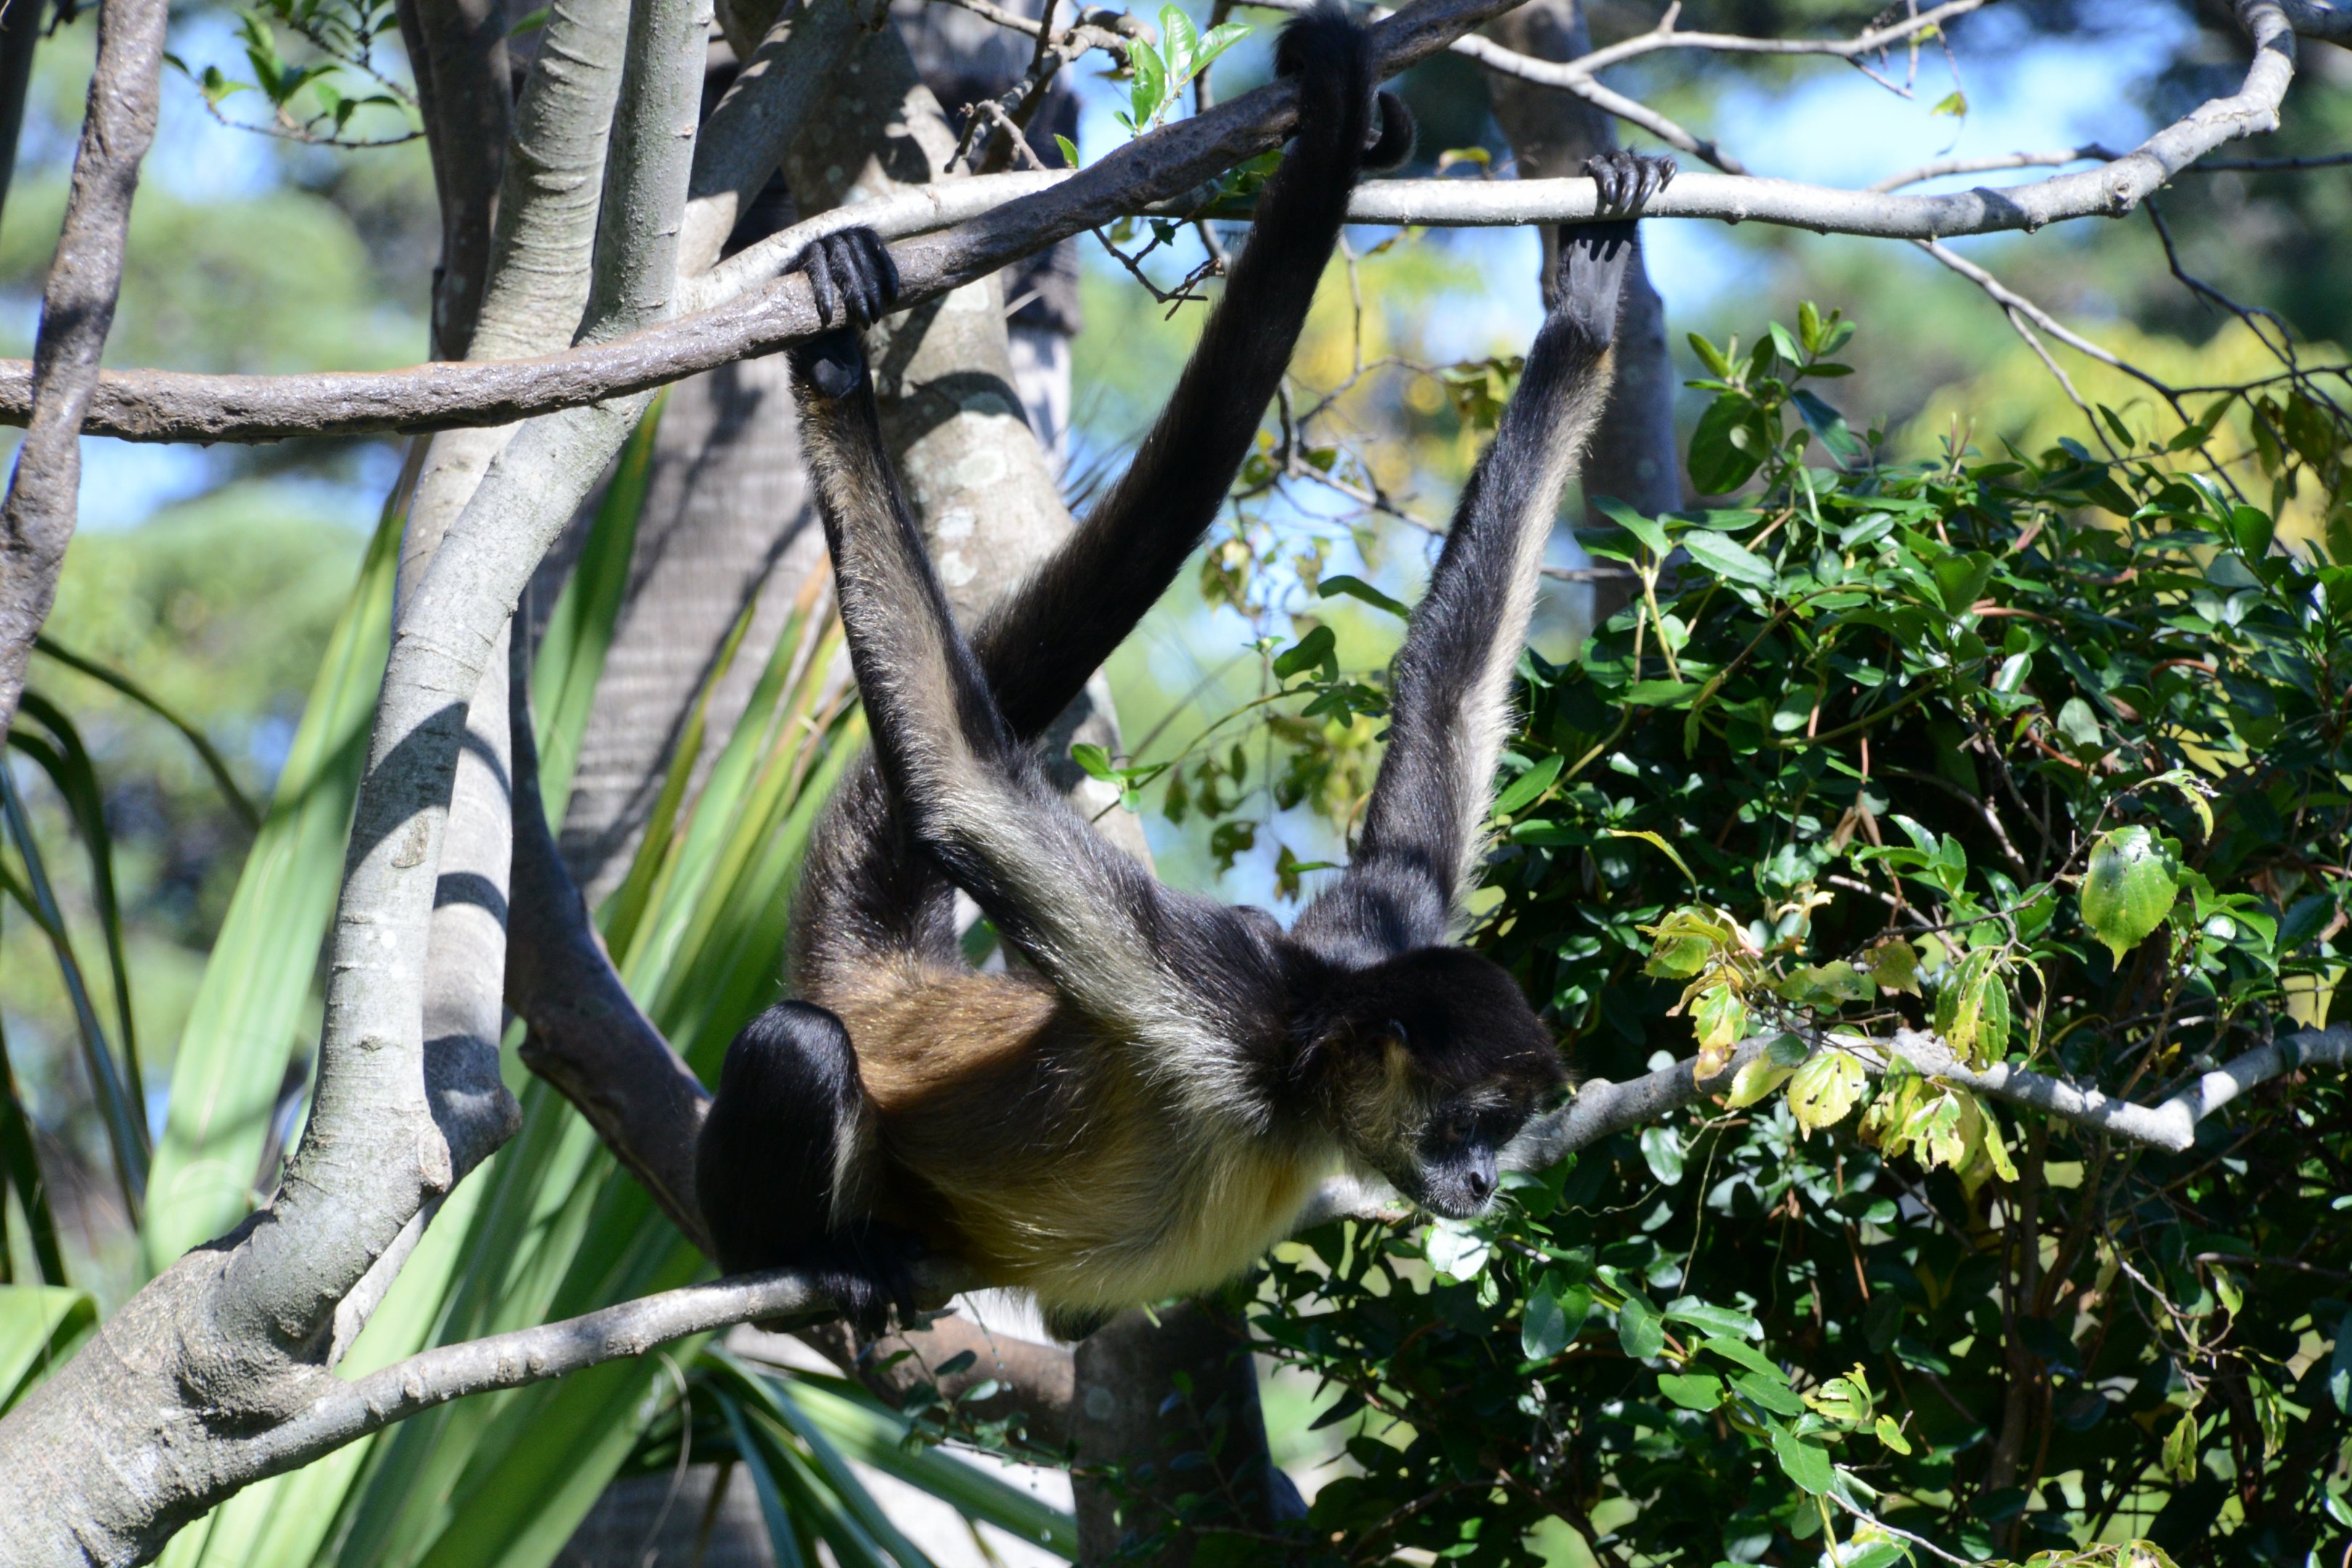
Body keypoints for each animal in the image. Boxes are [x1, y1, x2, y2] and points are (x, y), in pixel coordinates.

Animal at [694, 0, 1676, 1339]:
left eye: (1509, 1128)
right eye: (1473, 1123)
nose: (1481, 1182)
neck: (1300, 1076)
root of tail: (894, 986)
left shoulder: (1382, 921)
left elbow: (1453, 696)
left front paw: (1582, 310)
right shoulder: (1218, 1002)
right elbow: (960, 785)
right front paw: (838, 373)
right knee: (799, 1046)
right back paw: (806, 1262)